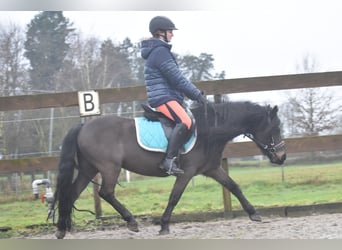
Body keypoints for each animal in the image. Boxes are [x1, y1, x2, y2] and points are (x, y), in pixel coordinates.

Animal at [52, 100, 286, 239]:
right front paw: (164, 225)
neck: (209, 131)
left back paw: (62, 228)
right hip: (109, 168)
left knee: (71, 193)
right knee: (106, 192)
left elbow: (234, 186)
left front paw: (254, 213)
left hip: (88, 169)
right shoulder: (187, 173)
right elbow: (175, 197)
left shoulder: (212, 169)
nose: (282, 157)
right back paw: (131, 221)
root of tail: (84, 126)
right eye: (276, 128)